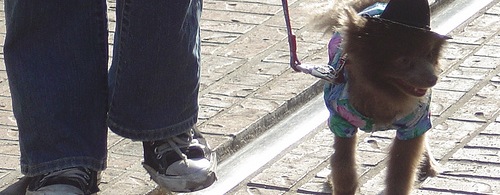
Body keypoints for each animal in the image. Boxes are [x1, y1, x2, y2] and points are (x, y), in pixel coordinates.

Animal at [314, 0, 448, 195]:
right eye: (404, 60)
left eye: (429, 55)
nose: (433, 78)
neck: (384, 95)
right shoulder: (342, 123)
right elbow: (343, 165)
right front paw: (343, 184)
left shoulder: (413, 126)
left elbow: (401, 173)